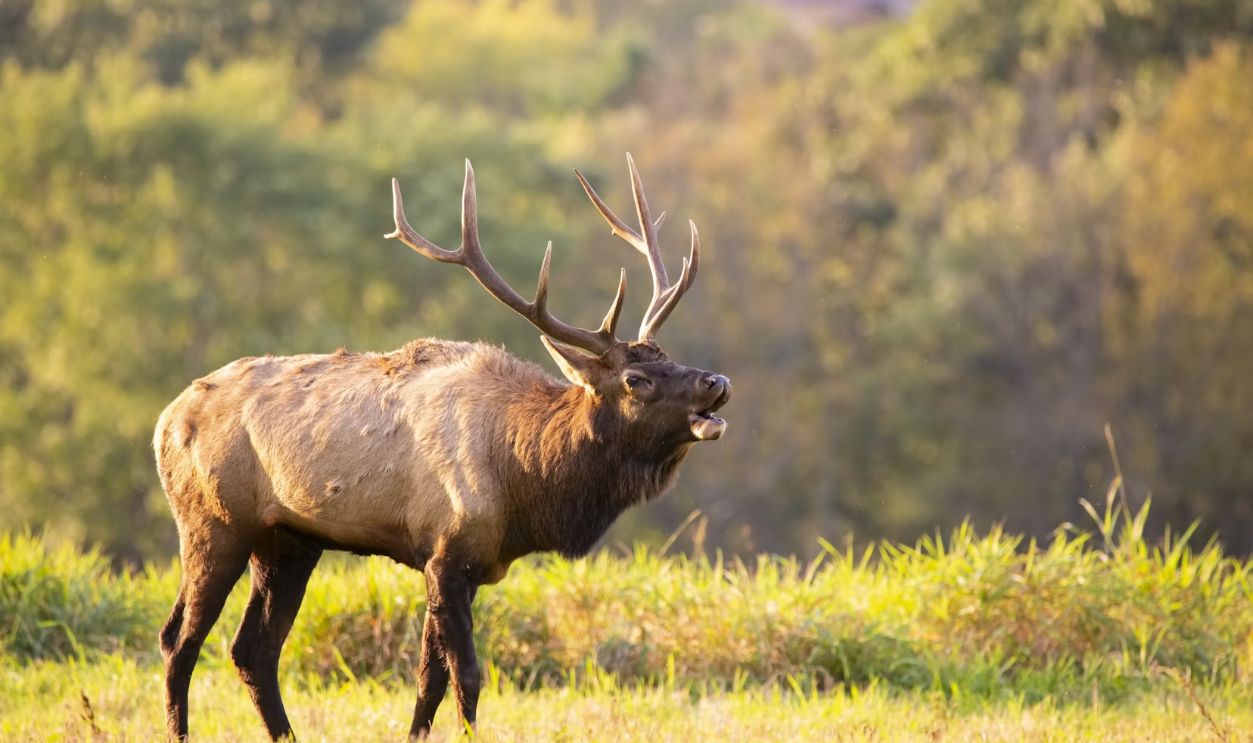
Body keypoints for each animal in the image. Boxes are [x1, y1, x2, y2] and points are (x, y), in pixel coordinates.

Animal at [153, 154, 731, 740]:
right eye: (637, 379)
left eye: (670, 356)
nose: (716, 381)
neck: (525, 483)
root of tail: (165, 420)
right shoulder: (446, 552)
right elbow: (467, 675)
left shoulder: (465, 563)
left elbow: (429, 679)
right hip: (213, 522)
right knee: (179, 640)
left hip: (287, 542)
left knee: (253, 650)